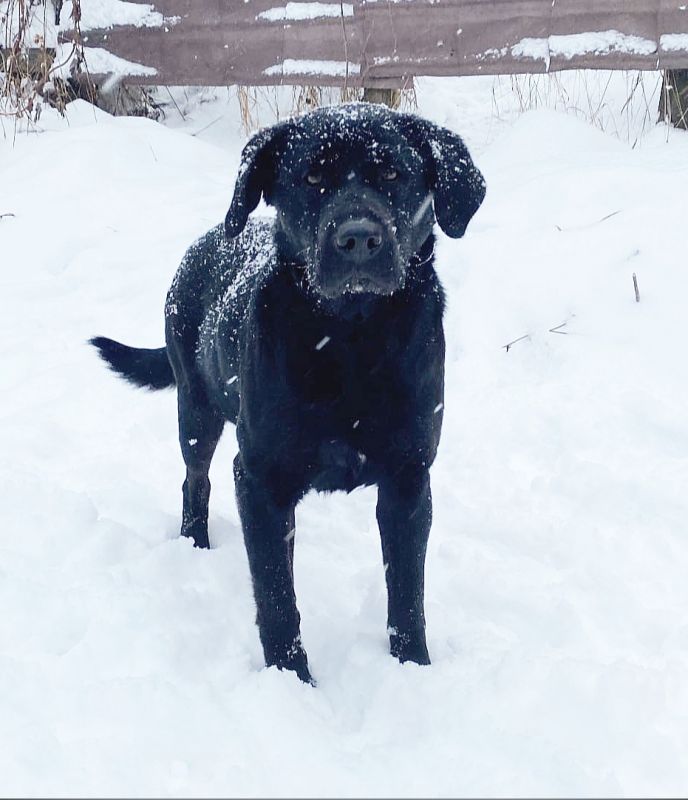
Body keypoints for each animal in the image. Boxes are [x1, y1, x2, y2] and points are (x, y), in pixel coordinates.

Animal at [91, 103, 485, 683]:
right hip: (197, 411)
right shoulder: (260, 478)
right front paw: (291, 678)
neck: (351, 340)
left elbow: (407, 592)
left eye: (393, 173)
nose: (359, 238)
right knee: (194, 480)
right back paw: (195, 545)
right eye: (313, 177)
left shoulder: (410, 478)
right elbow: (277, 595)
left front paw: (413, 668)